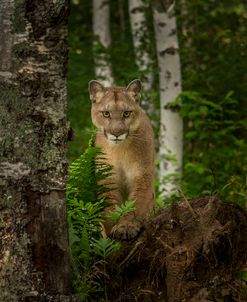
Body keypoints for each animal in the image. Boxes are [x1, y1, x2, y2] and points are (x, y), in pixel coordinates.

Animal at [89, 79, 154, 239]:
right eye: (106, 113)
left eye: (126, 113)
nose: (117, 133)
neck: (120, 149)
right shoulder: (108, 178)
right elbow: (110, 207)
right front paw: (111, 231)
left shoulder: (142, 175)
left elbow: (134, 204)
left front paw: (126, 226)